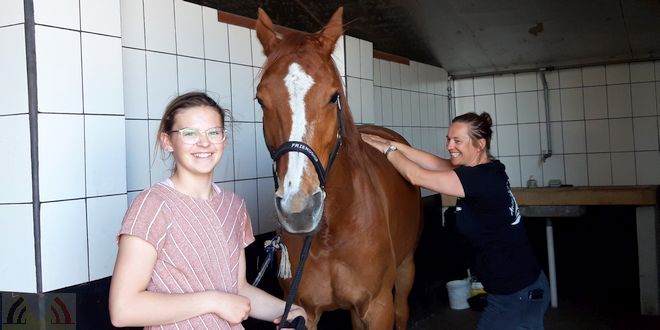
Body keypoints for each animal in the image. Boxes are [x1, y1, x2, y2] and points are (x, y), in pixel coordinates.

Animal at [254, 7, 422, 330]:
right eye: (260, 100)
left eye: (333, 97)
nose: (299, 209)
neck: (332, 230)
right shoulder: (302, 312)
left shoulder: (378, 306)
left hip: (406, 268)